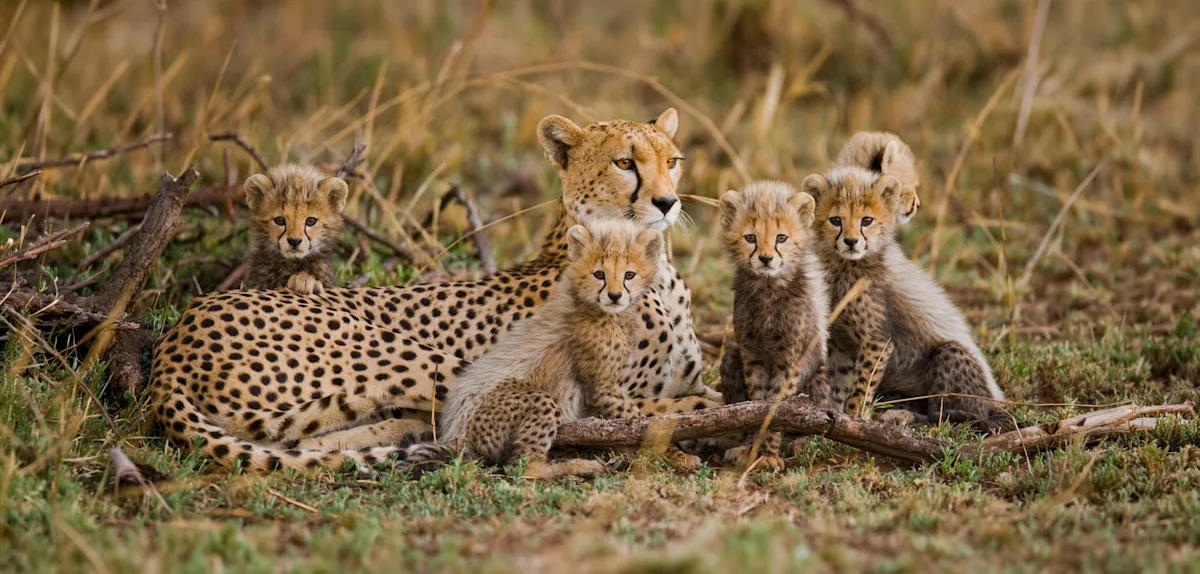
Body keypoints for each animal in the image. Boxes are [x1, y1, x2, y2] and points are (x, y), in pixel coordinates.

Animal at [403, 220, 699, 479]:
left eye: (629, 274)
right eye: (599, 274)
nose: (615, 296)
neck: (591, 307)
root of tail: (457, 434)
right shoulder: (604, 388)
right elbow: (641, 422)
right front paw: (678, 455)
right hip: (535, 401)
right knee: (525, 466)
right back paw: (578, 466)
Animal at [715, 181, 831, 471]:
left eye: (781, 238)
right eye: (750, 238)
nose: (766, 259)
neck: (768, 288)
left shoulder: (790, 360)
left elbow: (776, 408)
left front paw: (768, 453)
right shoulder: (751, 354)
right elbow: (755, 404)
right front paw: (754, 449)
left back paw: (803, 442)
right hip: (731, 358)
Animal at [801, 164, 1010, 431]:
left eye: (866, 220)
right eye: (835, 220)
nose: (851, 241)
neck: (845, 266)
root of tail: (997, 402)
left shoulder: (878, 341)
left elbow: (861, 386)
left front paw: (855, 418)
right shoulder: (841, 342)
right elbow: (841, 383)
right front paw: (836, 416)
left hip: (950, 358)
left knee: (952, 417)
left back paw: (904, 417)